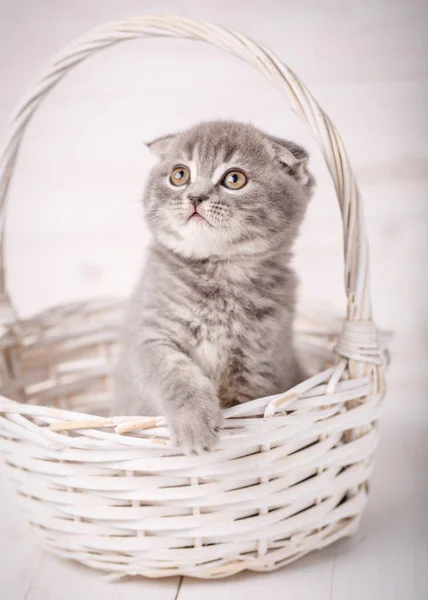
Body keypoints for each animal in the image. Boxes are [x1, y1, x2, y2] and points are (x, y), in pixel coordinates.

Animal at [113, 119, 314, 452]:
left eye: (234, 178)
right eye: (179, 175)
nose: (195, 197)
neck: (220, 272)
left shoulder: (261, 365)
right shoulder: (148, 336)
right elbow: (174, 374)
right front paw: (195, 423)